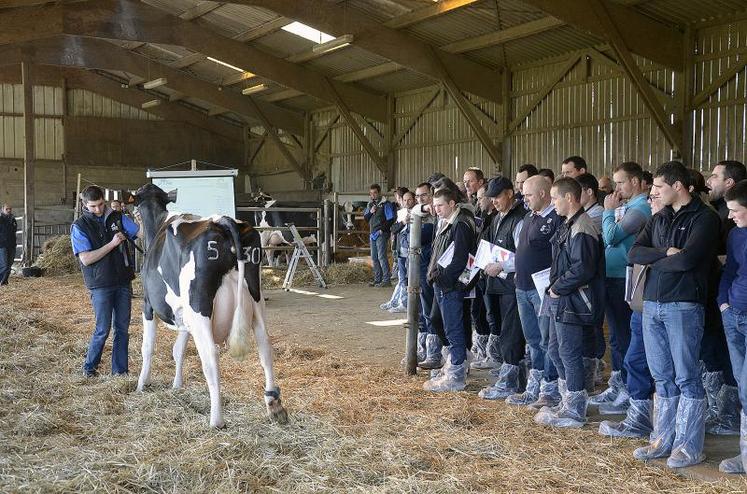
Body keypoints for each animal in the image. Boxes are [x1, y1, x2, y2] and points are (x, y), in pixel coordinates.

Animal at [130, 183, 288, 426]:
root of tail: (222, 221)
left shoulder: (148, 304)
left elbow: (147, 348)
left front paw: (141, 384)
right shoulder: (183, 315)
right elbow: (178, 350)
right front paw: (177, 385)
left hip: (200, 306)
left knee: (211, 356)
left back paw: (216, 420)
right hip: (256, 299)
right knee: (265, 346)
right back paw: (274, 405)